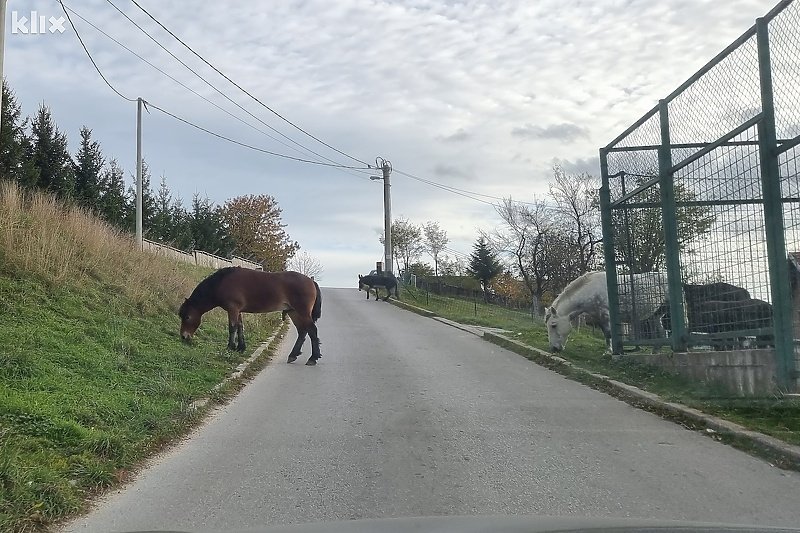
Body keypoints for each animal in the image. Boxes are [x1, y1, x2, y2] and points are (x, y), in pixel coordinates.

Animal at [178, 268, 322, 364]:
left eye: (187, 317)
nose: (184, 336)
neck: (222, 282)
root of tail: (311, 281)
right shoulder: (238, 311)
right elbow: (240, 327)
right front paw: (240, 348)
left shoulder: (233, 309)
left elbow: (232, 327)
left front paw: (230, 347)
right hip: (293, 312)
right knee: (302, 331)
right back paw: (293, 355)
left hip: (302, 312)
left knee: (312, 330)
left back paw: (313, 358)